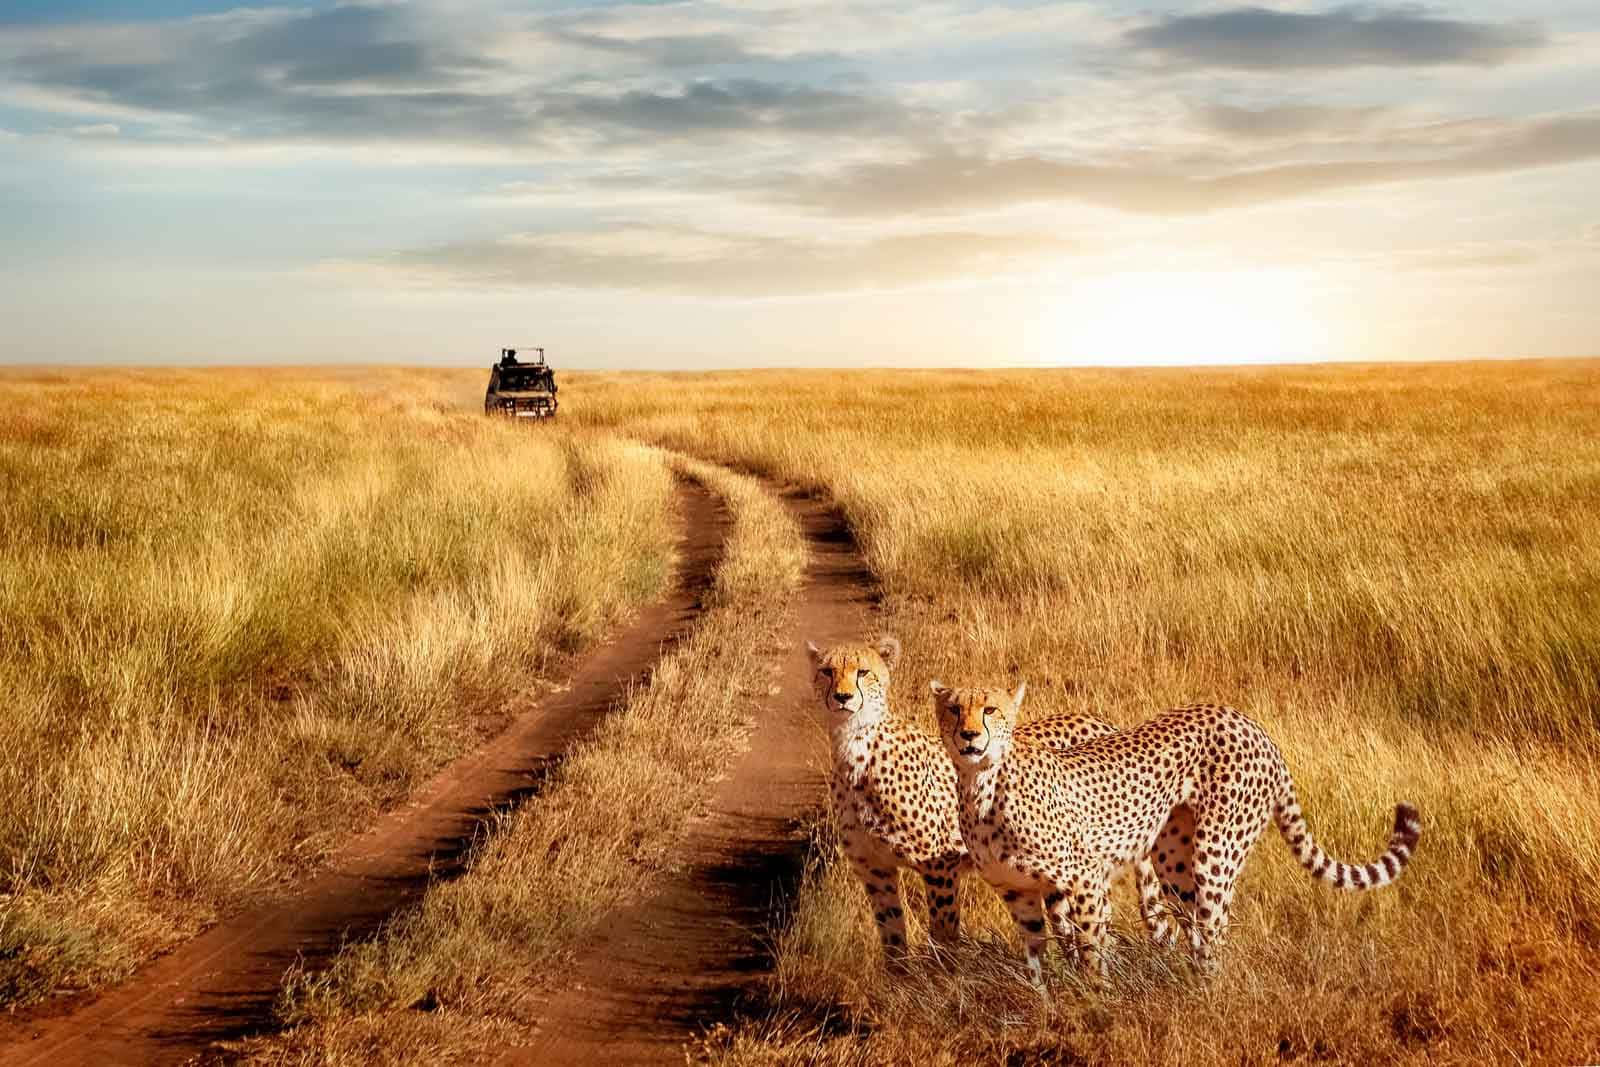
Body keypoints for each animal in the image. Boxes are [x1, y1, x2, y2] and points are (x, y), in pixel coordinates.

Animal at [812, 639, 1177, 966]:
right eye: (827, 671)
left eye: (862, 672)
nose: (843, 697)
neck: (855, 750)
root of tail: (1100, 721)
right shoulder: (874, 869)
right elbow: (892, 938)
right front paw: (898, 982)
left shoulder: (939, 864)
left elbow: (943, 933)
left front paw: (943, 979)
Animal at [934, 681, 1420, 991]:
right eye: (954, 709)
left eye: (990, 709)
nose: (969, 735)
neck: (981, 787)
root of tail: (1248, 722)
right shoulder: (1017, 892)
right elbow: (1037, 956)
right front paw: (1047, 1006)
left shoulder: (1086, 878)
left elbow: (1091, 949)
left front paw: (1096, 1004)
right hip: (1173, 862)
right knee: (1195, 925)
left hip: (1216, 852)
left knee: (1214, 928)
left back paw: (1206, 996)